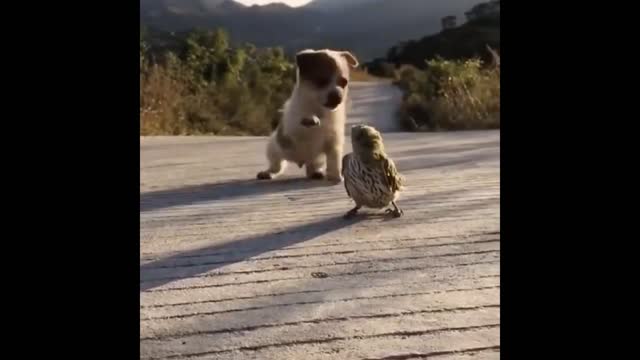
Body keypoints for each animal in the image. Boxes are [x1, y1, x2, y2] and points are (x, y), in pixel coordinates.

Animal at [256, 48, 360, 183]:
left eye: (344, 83)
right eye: (321, 81)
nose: (338, 97)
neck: (321, 110)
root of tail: (301, 161)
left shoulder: (334, 141)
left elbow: (334, 160)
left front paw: (336, 176)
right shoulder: (293, 125)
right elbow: (302, 118)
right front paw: (310, 118)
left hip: (317, 159)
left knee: (312, 166)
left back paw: (316, 172)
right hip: (274, 148)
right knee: (277, 165)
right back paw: (268, 173)